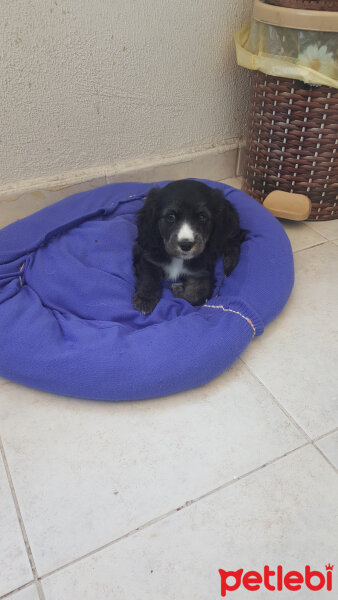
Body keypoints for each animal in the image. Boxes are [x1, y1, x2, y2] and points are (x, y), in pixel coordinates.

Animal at [133, 179, 246, 314]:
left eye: (202, 217)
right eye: (170, 217)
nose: (186, 245)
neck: (179, 259)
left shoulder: (202, 269)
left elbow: (198, 294)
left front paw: (179, 290)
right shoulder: (147, 254)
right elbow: (149, 276)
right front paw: (145, 300)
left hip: (228, 230)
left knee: (235, 241)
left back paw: (229, 263)